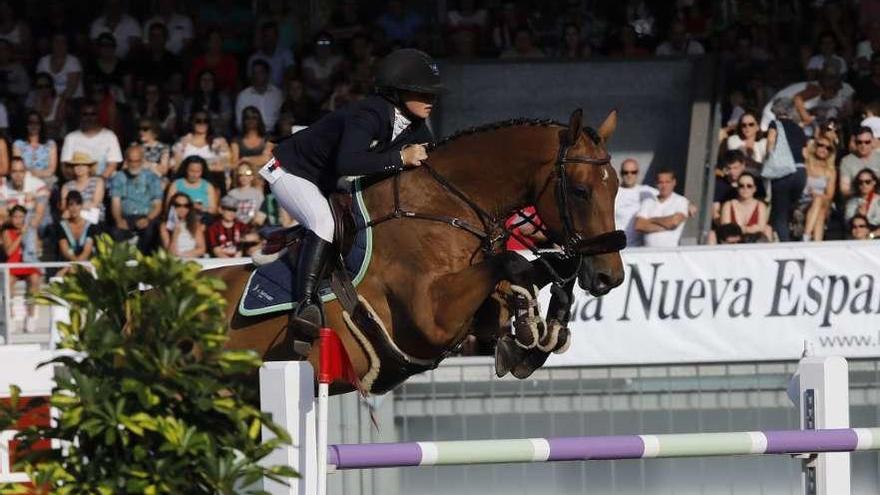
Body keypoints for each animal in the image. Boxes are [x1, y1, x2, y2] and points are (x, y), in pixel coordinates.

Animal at [213, 108, 624, 396]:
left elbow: (522, 276)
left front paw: (537, 331)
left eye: (617, 187)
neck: (443, 204)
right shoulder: (431, 317)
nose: (610, 276)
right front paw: (531, 326)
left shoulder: (477, 311)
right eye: (580, 191)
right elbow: (512, 261)